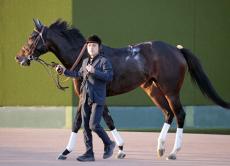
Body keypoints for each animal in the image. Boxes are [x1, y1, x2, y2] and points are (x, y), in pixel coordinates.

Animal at [15, 18, 229, 160]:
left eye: (31, 37)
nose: (19, 57)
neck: (84, 57)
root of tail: (177, 50)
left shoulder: (86, 96)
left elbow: (79, 123)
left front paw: (66, 151)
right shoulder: (95, 97)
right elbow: (106, 121)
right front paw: (118, 148)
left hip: (170, 90)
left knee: (180, 114)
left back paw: (174, 152)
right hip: (152, 89)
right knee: (168, 113)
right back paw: (160, 148)